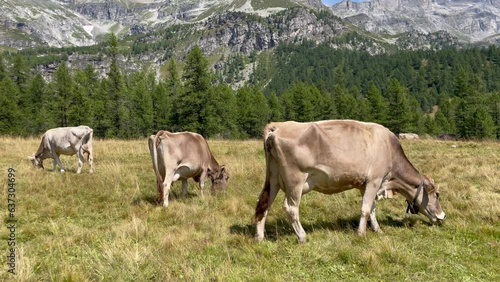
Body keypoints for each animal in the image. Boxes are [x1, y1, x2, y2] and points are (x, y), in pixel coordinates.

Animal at [254, 119, 446, 242]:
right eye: (437, 194)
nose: (442, 216)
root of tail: (278, 127)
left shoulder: (366, 184)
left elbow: (372, 209)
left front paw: (377, 229)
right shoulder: (375, 180)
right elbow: (365, 209)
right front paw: (361, 233)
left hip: (273, 179)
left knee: (264, 204)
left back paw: (259, 237)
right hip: (295, 180)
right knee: (291, 208)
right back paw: (302, 236)